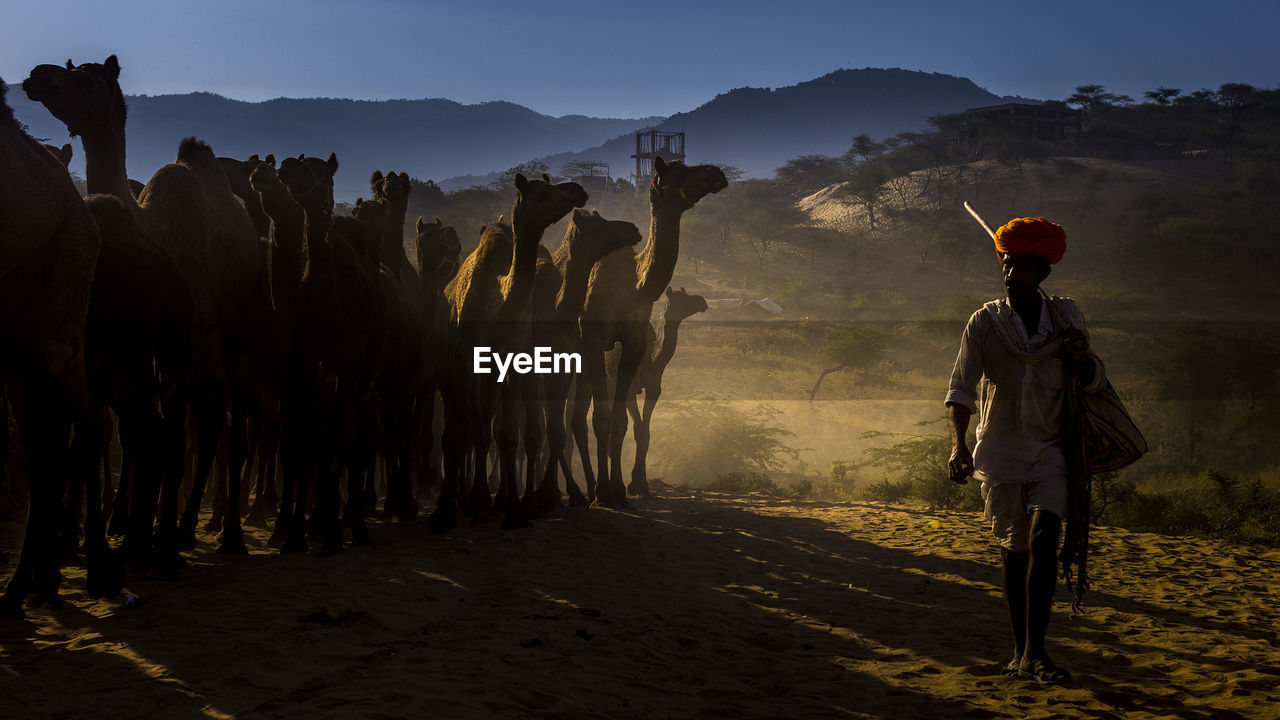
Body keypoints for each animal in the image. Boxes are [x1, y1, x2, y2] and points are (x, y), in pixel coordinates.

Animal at [24, 57, 271, 561]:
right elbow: (133, 430)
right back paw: (189, 525)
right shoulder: (140, 340)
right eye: (71, 66)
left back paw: (229, 533)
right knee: (210, 414)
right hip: (202, 340)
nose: (37, 74)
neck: (152, 231)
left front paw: (152, 536)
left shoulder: (184, 330)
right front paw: (125, 527)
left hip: (232, 321)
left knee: (231, 420)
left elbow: (167, 432)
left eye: (85, 79)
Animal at [432, 174, 586, 532]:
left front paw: (513, 511)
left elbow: (508, 433)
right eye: (542, 192)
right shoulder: (466, 361)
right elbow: (467, 432)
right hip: (451, 372)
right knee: (460, 429)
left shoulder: (514, 359)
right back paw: (462, 501)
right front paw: (453, 511)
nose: (577, 190)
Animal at [624, 285, 706, 491]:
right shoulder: (628, 391)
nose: (702, 301)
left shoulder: (654, 391)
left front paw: (641, 483)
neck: (649, 361)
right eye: (679, 297)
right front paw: (633, 483)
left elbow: (645, 432)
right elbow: (636, 429)